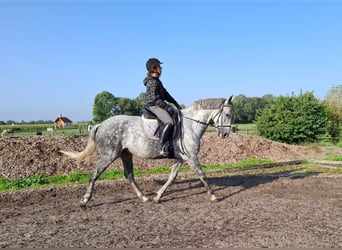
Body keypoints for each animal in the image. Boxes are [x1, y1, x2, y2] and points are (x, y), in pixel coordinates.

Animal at [61, 95, 234, 207]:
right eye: (227, 114)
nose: (225, 134)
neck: (190, 125)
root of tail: (101, 124)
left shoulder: (180, 158)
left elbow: (172, 177)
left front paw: (157, 197)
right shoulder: (191, 157)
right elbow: (202, 175)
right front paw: (214, 196)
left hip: (125, 154)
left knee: (129, 175)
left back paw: (144, 197)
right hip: (109, 155)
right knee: (94, 173)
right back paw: (84, 201)